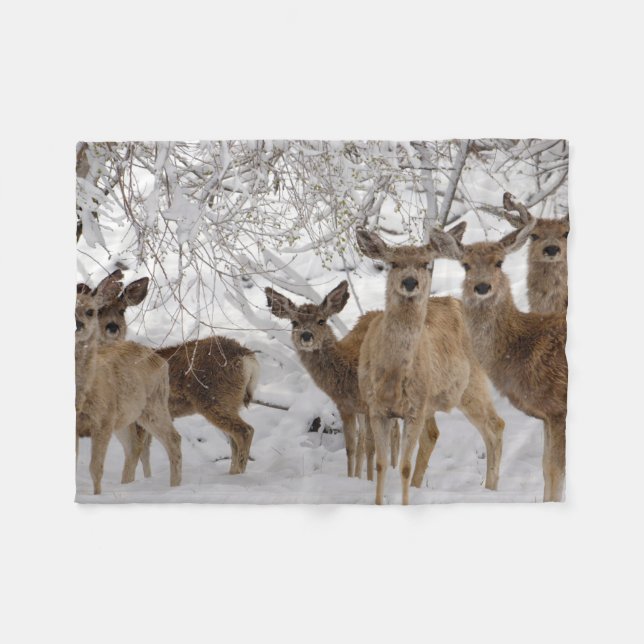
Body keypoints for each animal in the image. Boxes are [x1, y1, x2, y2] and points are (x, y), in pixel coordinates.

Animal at [75, 275, 182, 495]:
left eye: (91, 311)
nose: (112, 327)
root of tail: (159, 359)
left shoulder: (103, 420)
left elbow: (95, 468)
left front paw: (98, 496)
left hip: (153, 405)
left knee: (172, 439)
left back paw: (175, 487)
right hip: (126, 417)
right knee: (134, 448)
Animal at [265, 282, 401, 479]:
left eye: (321, 320)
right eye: (294, 322)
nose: (306, 336)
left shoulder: (370, 405)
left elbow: (371, 447)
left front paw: (369, 480)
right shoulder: (346, 406)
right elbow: (351, 447)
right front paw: (352, 478)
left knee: (395, 432)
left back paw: (394, 468)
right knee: (366, 438)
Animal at [356, 227, 506, 505]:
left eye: (426, 264)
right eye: (393, 263)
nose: (410, 282)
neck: (393, 375)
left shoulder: (415, 408)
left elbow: (403, 466)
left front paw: (405, 503)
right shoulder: (376, 408)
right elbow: (382, 464)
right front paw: (379, 502)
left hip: (471, 384)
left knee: (495, 424)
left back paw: (490, 488)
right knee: (435, 434)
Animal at [444, 219, 568, 502]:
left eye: (499, 262)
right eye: (465, 265)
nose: (482, 287)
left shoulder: (559, 408)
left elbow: (556, 471)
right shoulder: (548, 415)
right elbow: (546, 469)